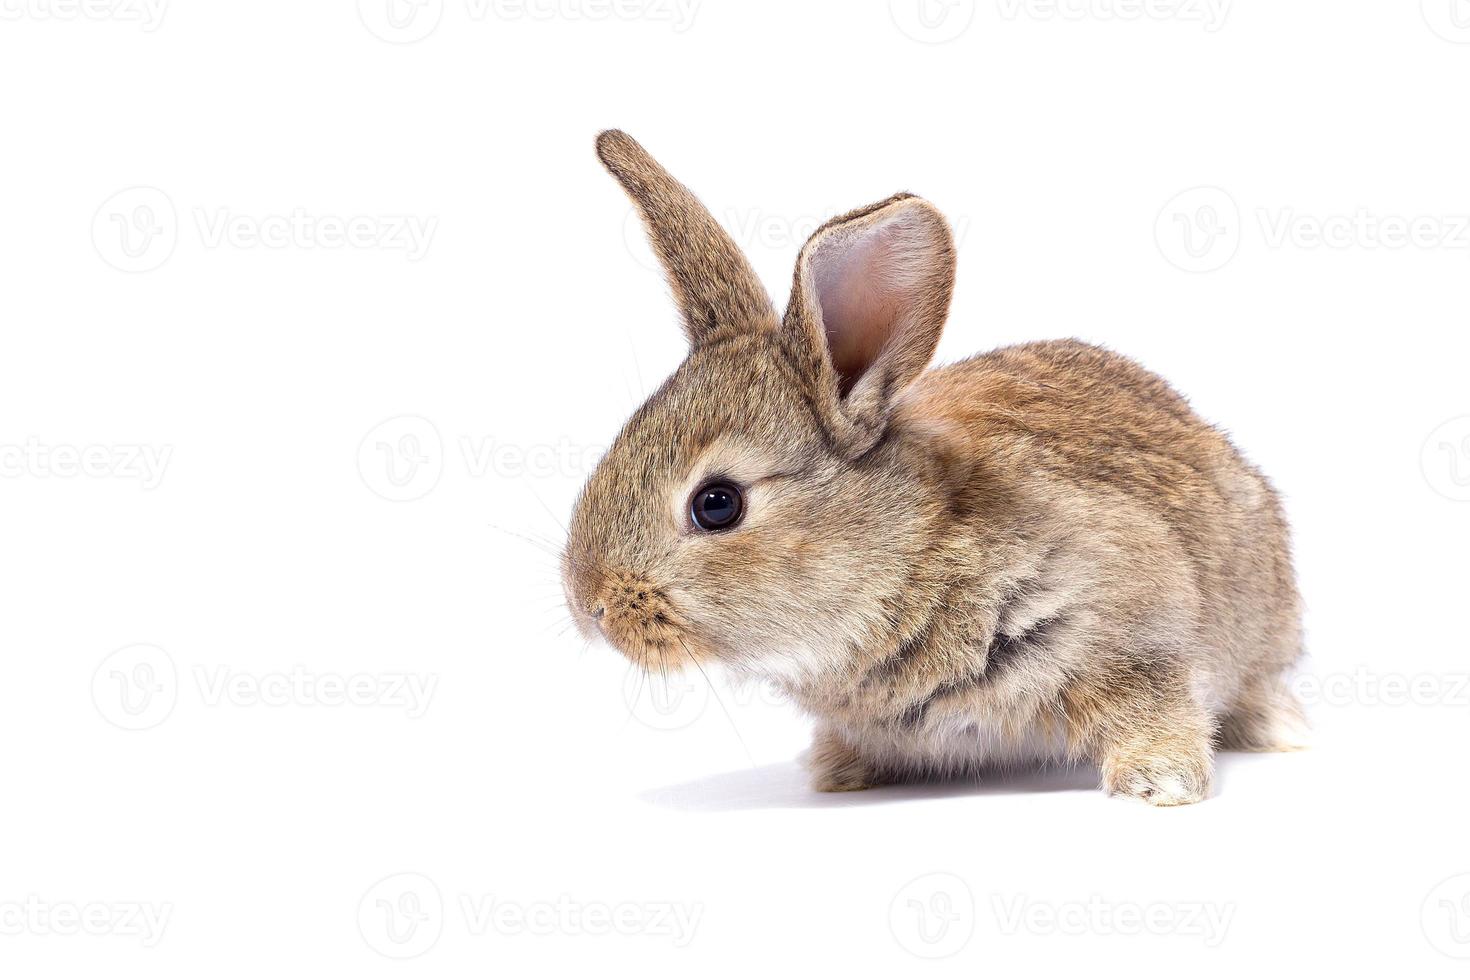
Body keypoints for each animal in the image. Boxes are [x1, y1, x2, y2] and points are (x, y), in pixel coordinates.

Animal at [561, 130, 1311, 805]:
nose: (588, 604)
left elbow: (1150, 698)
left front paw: (1161, 782)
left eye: (717, 504)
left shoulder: (1133, 625)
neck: (906, 554)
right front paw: (837, 773)